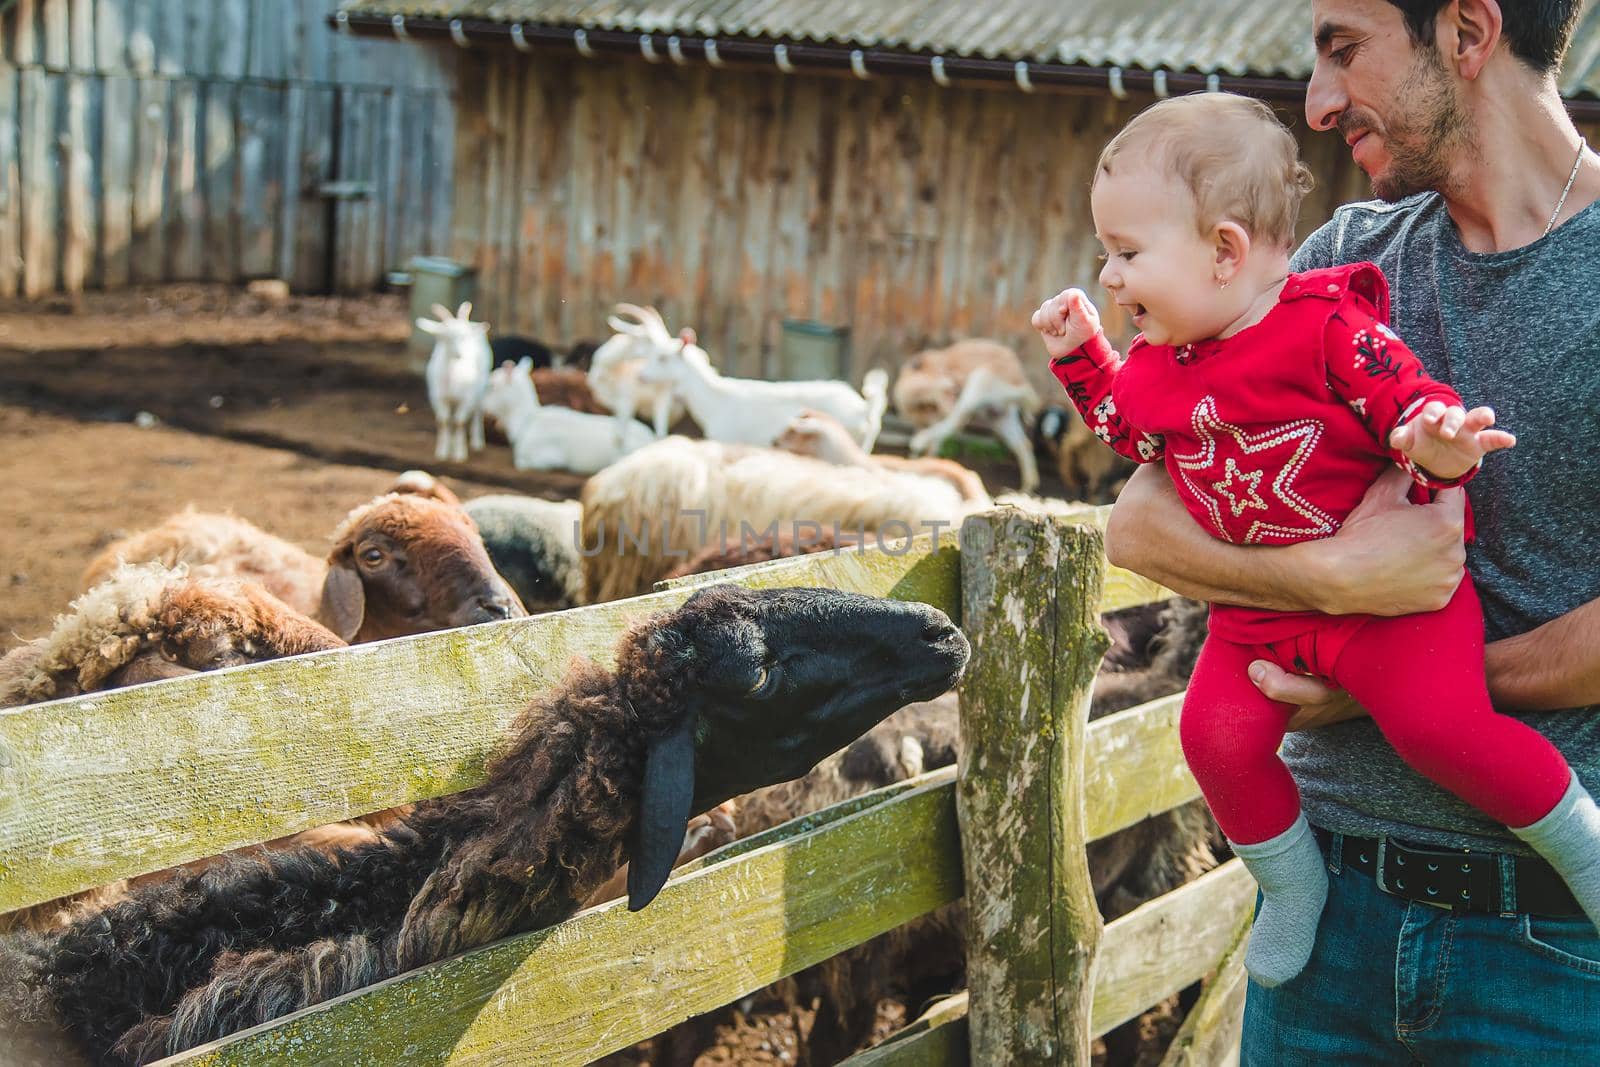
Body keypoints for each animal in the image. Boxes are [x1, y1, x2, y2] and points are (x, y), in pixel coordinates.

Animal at [416, 302, 489, 463]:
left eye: (465, 336)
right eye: (445, 337)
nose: (459, 354)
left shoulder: (467, 399)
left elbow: (459, 422)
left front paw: (459, 454)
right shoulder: (437, 397)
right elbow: (443, 421)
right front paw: (443, 452)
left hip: (481, 387)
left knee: (478, 410)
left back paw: (477, 442)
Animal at [896, 337, 1043, 495]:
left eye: (949, 391)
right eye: (929, 406)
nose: (955, 389)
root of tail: (1017, 369)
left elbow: (946, 427)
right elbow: (935, 441)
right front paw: (924, 460)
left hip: (978, 382)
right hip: (999, 419)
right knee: (1024, 444)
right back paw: (1026, 487)